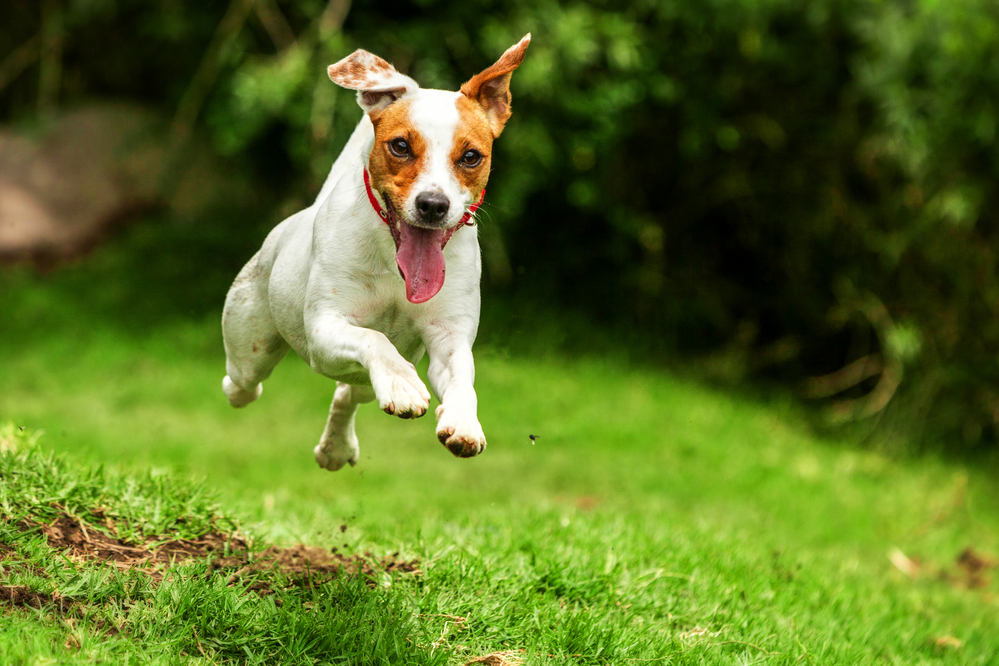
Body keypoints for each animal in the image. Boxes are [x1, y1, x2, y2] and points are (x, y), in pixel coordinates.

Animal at [221, 33, 532, 470]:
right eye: (399, 146)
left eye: (471, 156)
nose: (433, 205)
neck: (393, 264)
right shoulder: (325, 328)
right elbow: (374, 339)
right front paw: (402, 385)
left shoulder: (448, 337)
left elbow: (462, 379)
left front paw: (463, 421)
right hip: (251, 345)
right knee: (242, 382)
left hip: (357, 378)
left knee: (349, 392)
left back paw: (336, 447)